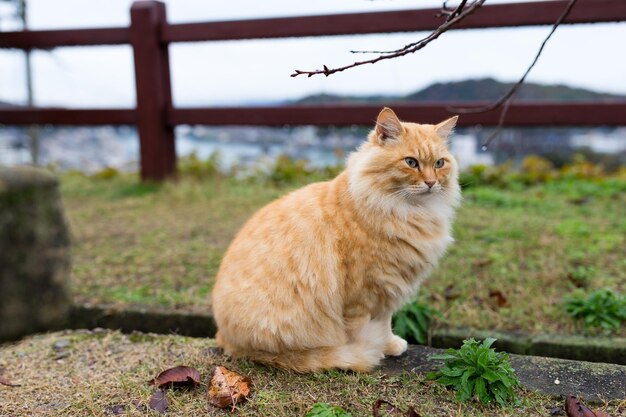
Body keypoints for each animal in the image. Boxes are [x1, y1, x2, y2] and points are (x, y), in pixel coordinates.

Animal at [212, 107, 460, 370]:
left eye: (439, 163)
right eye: (411, 162)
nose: (431, 183)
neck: (408, 213)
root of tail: (224, 338)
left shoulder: (386, 291)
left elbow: (384, 323)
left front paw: (389, 344)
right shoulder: (363, 295)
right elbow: (361, 331)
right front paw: (370, 349)